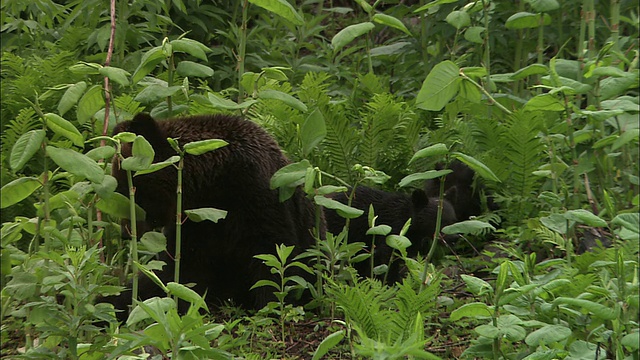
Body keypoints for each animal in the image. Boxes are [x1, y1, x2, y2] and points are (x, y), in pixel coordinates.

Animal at [110, 113, 322, 312]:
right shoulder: (196, 223)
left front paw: (270, 304)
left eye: (126, 190)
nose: (125, 232)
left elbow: (274, 256)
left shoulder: (256, 197)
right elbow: (180, 274)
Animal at [324, 186, 456, 284]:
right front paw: (392, 283)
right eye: (439, 222)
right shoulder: (392, 231)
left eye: (453, 221)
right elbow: (388, 259)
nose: (454, 239)